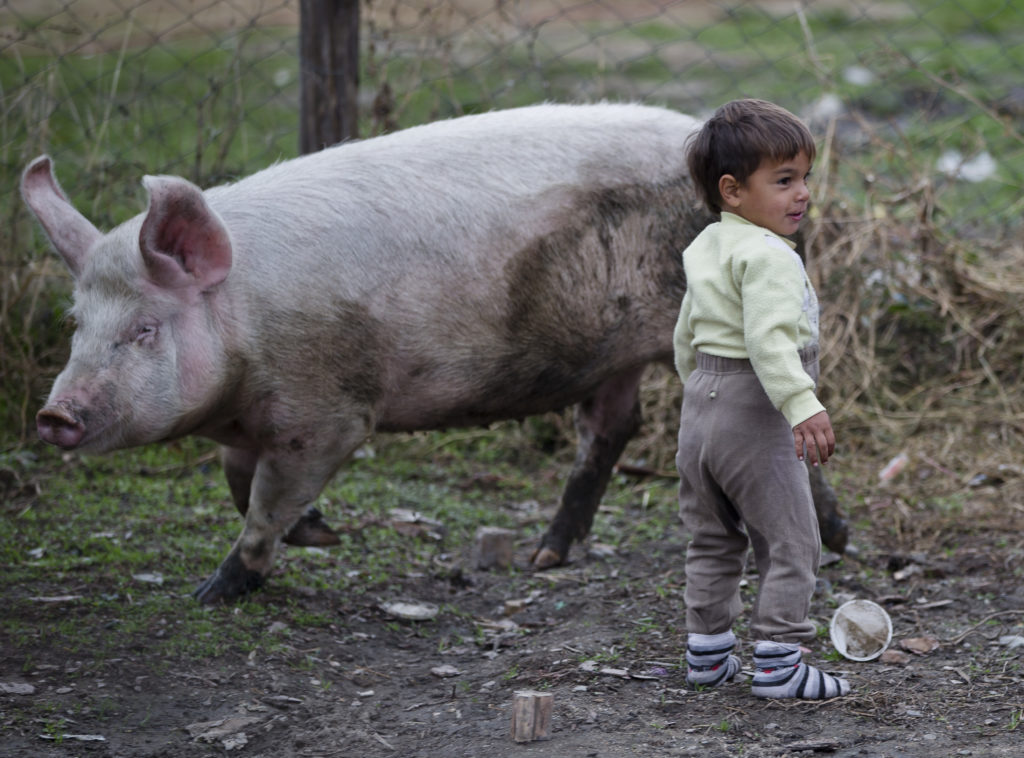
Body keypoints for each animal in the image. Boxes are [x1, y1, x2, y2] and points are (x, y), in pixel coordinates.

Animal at [22, 101, 847, 602]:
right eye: (78, 323)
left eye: (144, 329)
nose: (55, 415)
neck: (244, 326)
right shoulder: (253, 421)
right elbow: (237, 481)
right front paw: (319, 532)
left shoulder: (329, 411)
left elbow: (263, 502)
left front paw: (215, 591)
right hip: (608, 356)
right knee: (612, 428)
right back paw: (546, 556)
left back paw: (832, 541)